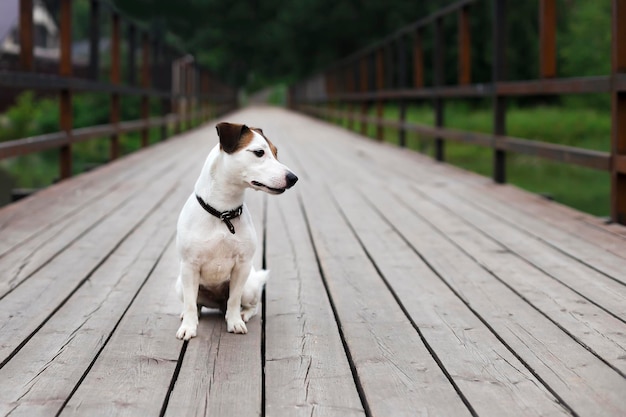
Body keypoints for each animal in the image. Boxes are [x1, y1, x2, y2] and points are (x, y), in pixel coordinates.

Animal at [172, 121, 296, 338]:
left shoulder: (242, 266)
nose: (293, 178)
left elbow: (234, 299)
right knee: (195, 302)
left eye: (276, 152)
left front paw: (235, 321)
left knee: (249, 304)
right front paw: (188, 326)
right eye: (259, 152)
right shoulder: (189, 266)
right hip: (181, 284)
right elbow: (189, 303)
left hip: (249, 286)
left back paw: (243, 314)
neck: (223, 213)